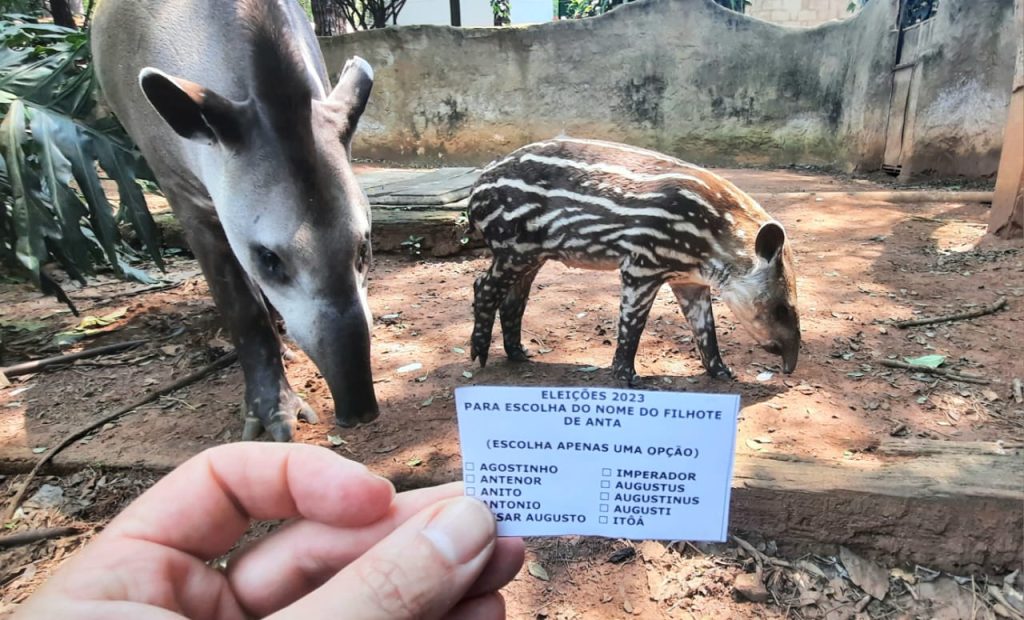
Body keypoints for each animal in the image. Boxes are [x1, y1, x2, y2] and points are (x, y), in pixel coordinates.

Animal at [468, 136, 798, 381]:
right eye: (782, 309)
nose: (790, 366)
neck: (714, 233)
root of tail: (477, 184)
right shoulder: (642, 265)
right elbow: (632, 323)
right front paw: (625, 375)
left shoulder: (689, 280)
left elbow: (705, 328)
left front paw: (723, 372)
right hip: (513, 246)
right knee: (483, 285)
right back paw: (480, 355)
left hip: (533, 255)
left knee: (514, 298)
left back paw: (519, 354)